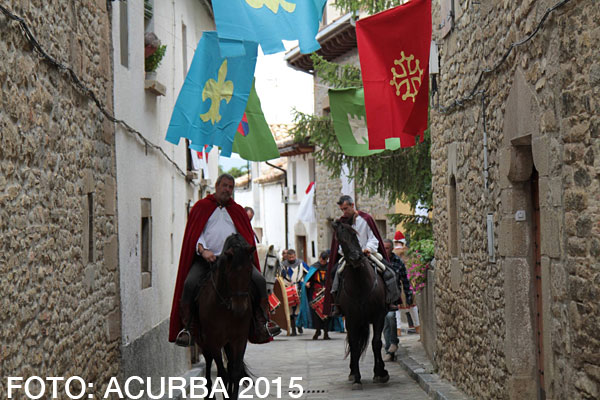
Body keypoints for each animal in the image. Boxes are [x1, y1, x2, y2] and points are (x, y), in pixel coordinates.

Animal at [196, 233, 254, 398]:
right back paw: (209, 393)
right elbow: (222, 374)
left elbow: (234, 373)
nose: (240, 308)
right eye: (230, 273)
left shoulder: (239, 339)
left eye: (249, 270)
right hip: (204, 342)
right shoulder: (214, 341)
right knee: (209, 361)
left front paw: (232, 395)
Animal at [332, 220, 390, 390]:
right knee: (354, 345)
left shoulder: (378, 316)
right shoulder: (351, 319)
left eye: (354, 235)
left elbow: (376, 343)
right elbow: (354, 346)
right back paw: (352, 373)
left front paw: (380, 373)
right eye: (340, 240)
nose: (357, 257)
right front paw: (357, 377)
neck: (360, 285)